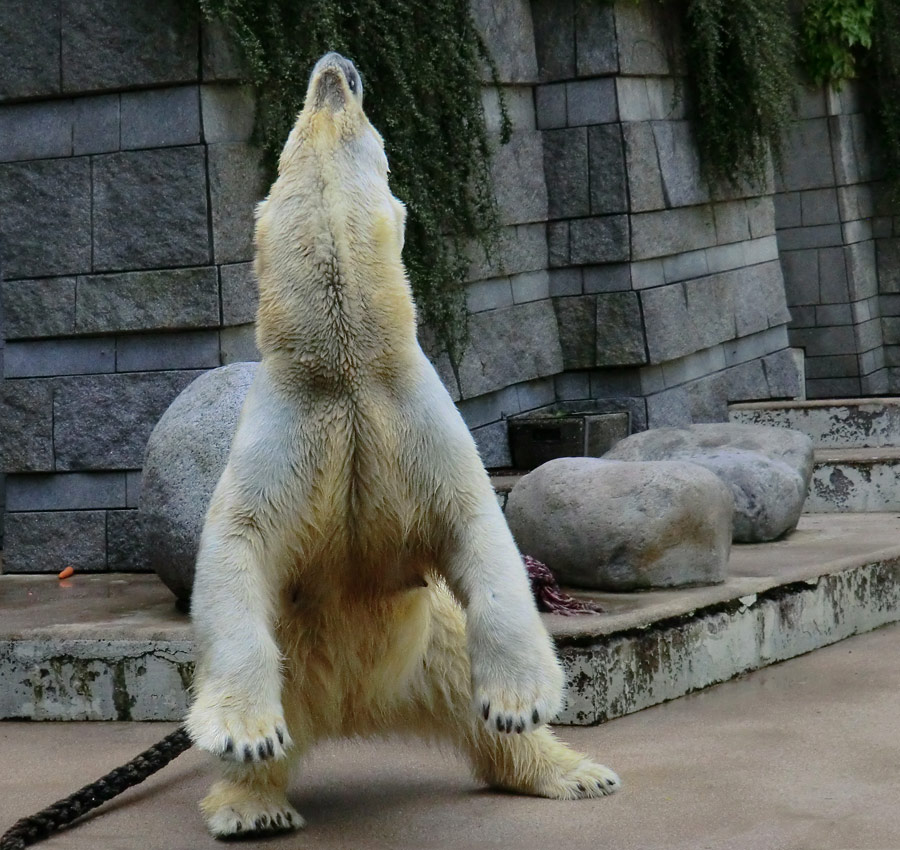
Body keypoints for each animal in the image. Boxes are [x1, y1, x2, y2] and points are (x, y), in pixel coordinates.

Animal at [186, 51, 624, 836]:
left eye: (365, 126)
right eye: (294, 133)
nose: (336, 67)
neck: (347, 368)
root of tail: (356, 709)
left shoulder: (413, 418)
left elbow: (479, 524)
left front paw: (523, 699)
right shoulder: (287, 424)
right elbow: (238, 543)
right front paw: (243, 732)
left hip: (438, 643)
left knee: (468, 701)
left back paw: (571, 771)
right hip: (304, 670)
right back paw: (251, 805)